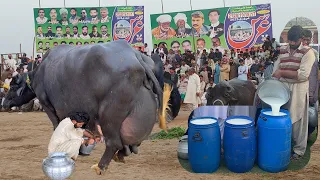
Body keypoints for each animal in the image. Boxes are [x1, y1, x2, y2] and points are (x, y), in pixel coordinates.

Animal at [3, 40, 180, 175]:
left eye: (12, 87)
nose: (3, 104)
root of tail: (136, 58)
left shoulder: (49, 106)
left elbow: (58, 128)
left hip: (109, 113)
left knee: (114, 142)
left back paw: (100, 167)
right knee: (134, 141)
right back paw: (122, 154)